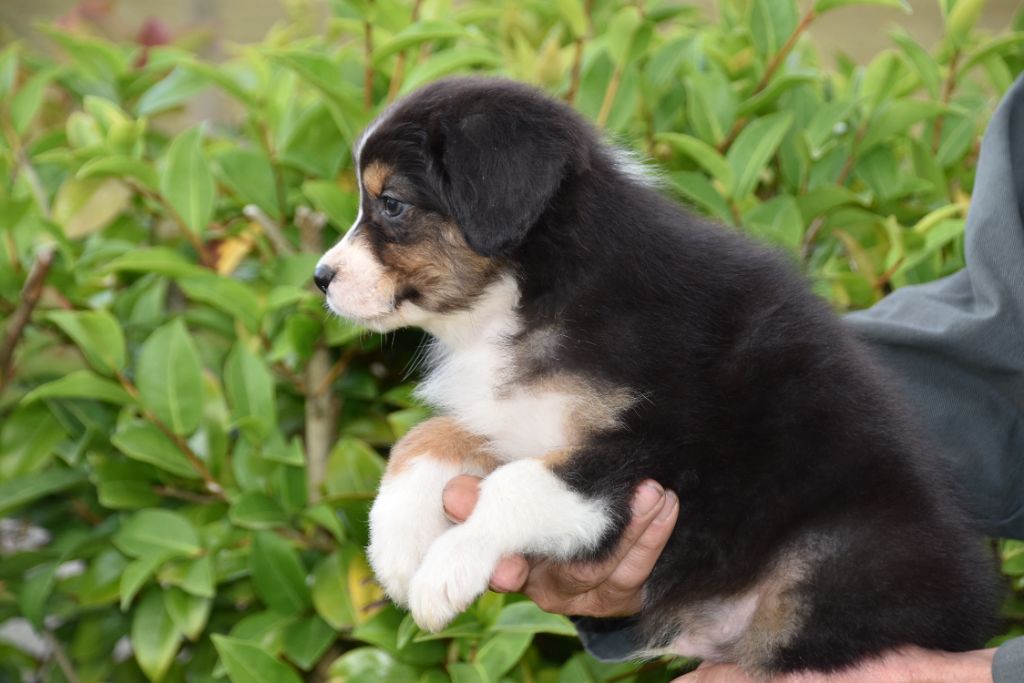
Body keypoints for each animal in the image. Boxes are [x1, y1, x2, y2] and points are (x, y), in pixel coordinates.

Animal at [313, 77, 997, 675]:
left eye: (391, 203)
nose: (319, 278)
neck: (534, 291)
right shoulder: (516, 415)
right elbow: (422, 439)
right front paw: (394, 549)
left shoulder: (652, 445)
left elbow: (514, 486)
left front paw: (444, 574)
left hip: (827, 565)